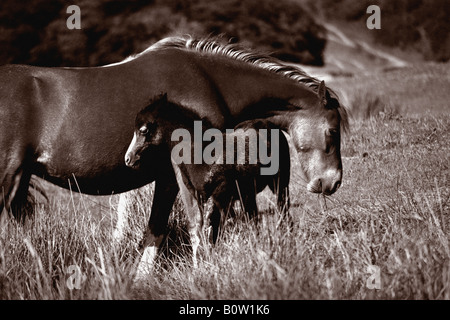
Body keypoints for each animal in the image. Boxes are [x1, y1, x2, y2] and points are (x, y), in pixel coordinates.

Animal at [125, 94, 290, 262]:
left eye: (143, 130)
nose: (128, 158)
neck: (203, 154)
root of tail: (269, 124)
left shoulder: (221, 197)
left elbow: (214, 227)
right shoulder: (200, 197)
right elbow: (200, 228)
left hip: (280, 181)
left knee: (283, 209)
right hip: (248, 194)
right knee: (254, 219)